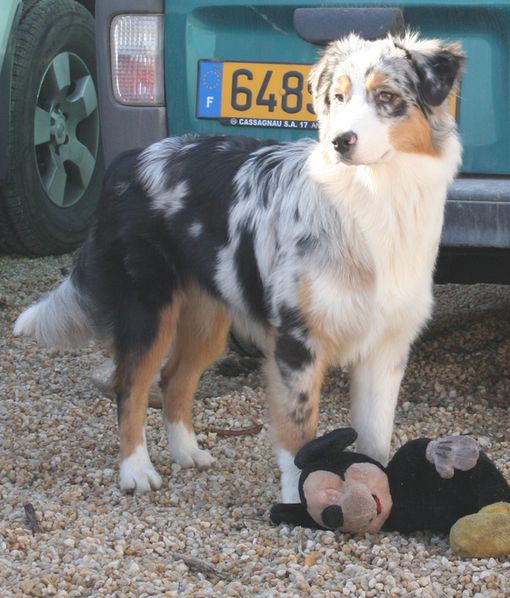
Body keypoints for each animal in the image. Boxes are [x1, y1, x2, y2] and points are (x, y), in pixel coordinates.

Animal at [14, 31, 462, 502]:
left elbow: (374, 440)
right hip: (148, 308)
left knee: (174, 378)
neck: (373, 198)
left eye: (386, 96)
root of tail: (130, 159)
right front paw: (298, 502)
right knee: (131, 384)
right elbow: (299, 441)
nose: (340, 141)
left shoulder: (385, 348)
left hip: (208, 318)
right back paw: (136, 470)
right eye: (338, 98)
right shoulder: (297, 344)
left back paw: (186, 453)